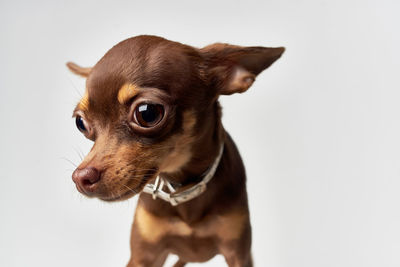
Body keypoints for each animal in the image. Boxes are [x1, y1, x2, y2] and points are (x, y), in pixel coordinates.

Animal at [67, 35, 282, 267]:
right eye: (80, 123)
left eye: (147, 113)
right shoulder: (143, 256)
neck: (183, 188)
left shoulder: (239, 254)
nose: (81, 177)